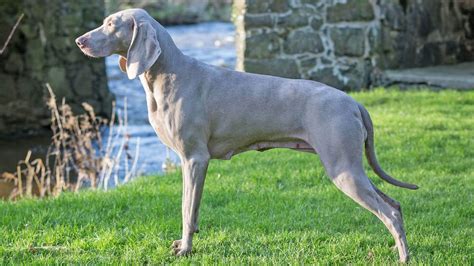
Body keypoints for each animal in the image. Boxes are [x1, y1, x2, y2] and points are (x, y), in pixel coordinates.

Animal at [75, 7, 418, 262]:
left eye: (110, 24)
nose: (79, 41)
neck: (168, 74)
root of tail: (353, 101)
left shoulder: (195, 159)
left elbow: (188, 209)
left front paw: (185, 249)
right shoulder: (189, 162)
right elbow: (189, 207)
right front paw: (186, 243)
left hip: (342, 167)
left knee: (388, 211)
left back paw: (403, 256)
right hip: (351, 165)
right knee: (395, 204)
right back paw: (394, 246)